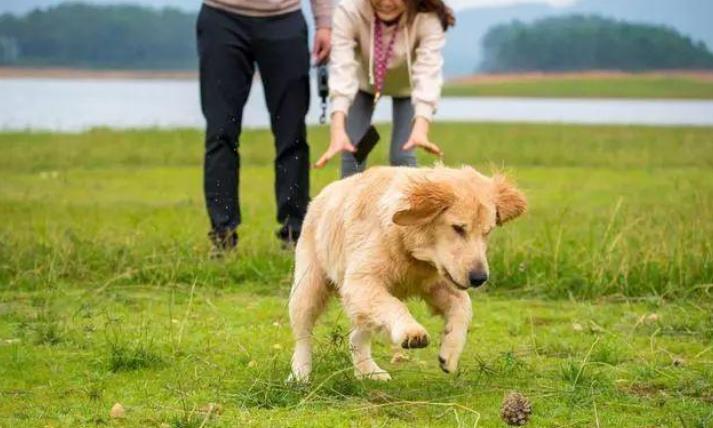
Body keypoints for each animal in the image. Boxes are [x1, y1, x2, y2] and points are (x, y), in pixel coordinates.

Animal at [286, 165, 524, 382]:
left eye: (487, 232)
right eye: (458, 228)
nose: (479, 278)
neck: (412, 253)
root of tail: (324, 194)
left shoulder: (436, 281)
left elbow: (463, 305)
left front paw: (449, 352)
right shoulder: (360, 282)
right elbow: (395, 305)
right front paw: (411, 332)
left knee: (357, 335)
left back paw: (368, 372)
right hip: (308, 287)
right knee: (303, 335)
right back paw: (300, 375)